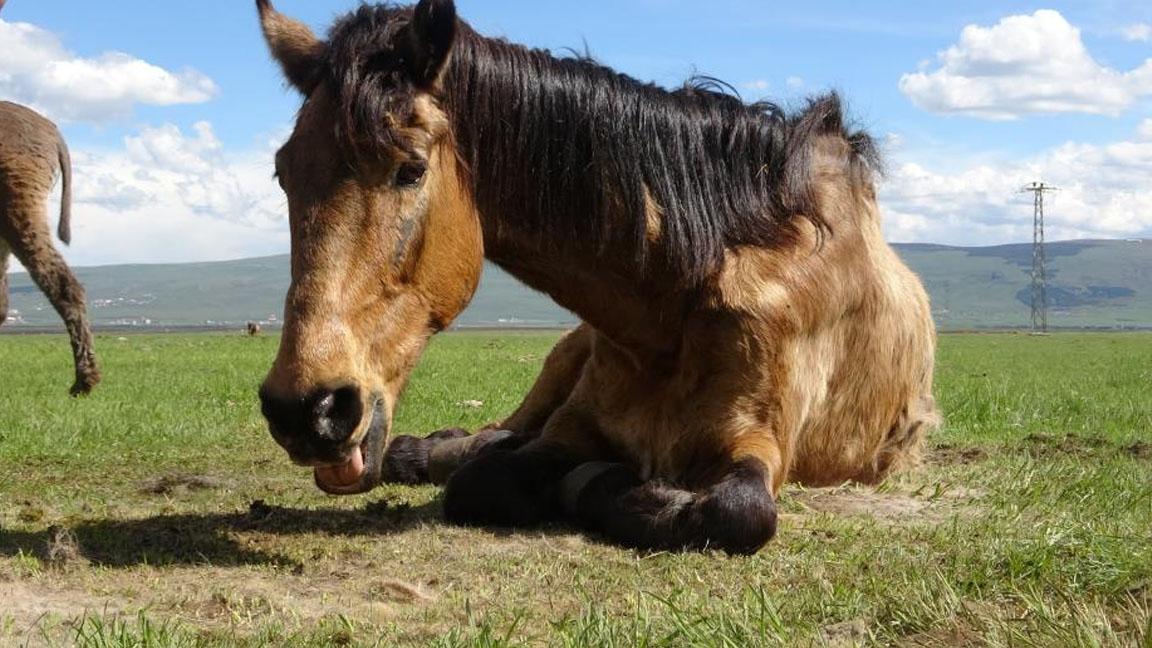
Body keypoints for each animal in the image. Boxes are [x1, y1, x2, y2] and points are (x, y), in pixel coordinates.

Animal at [254, 1, 935, 555]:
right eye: (285, 173)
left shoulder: (760, 445)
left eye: (411, 169)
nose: (307, 410)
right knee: (488, 438)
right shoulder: (570, 428)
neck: (679, 308)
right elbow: (486, 478)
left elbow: (738, 513)